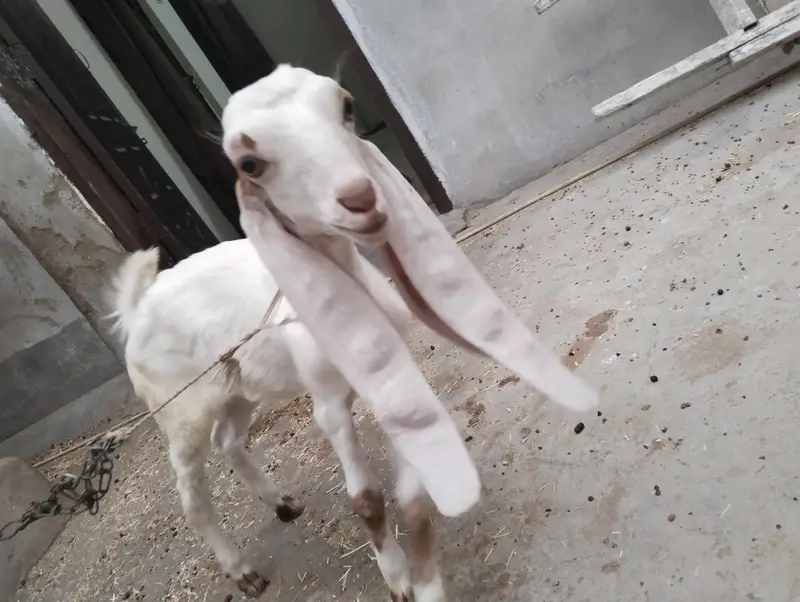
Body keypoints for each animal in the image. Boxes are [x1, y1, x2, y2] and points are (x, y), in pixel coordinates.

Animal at [112, 64, 598, 602]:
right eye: (250, 163)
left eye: (346, 106)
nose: (361, 199)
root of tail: (137, 306)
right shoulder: (328, 400)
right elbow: (365, 499)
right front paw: (398, 579)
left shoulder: (391, 378)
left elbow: (411, 487)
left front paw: (421, 574)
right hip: (179, 409)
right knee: (191, 490)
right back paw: (241, 570)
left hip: (236, 382)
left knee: (230, 439)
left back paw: (281, 503)